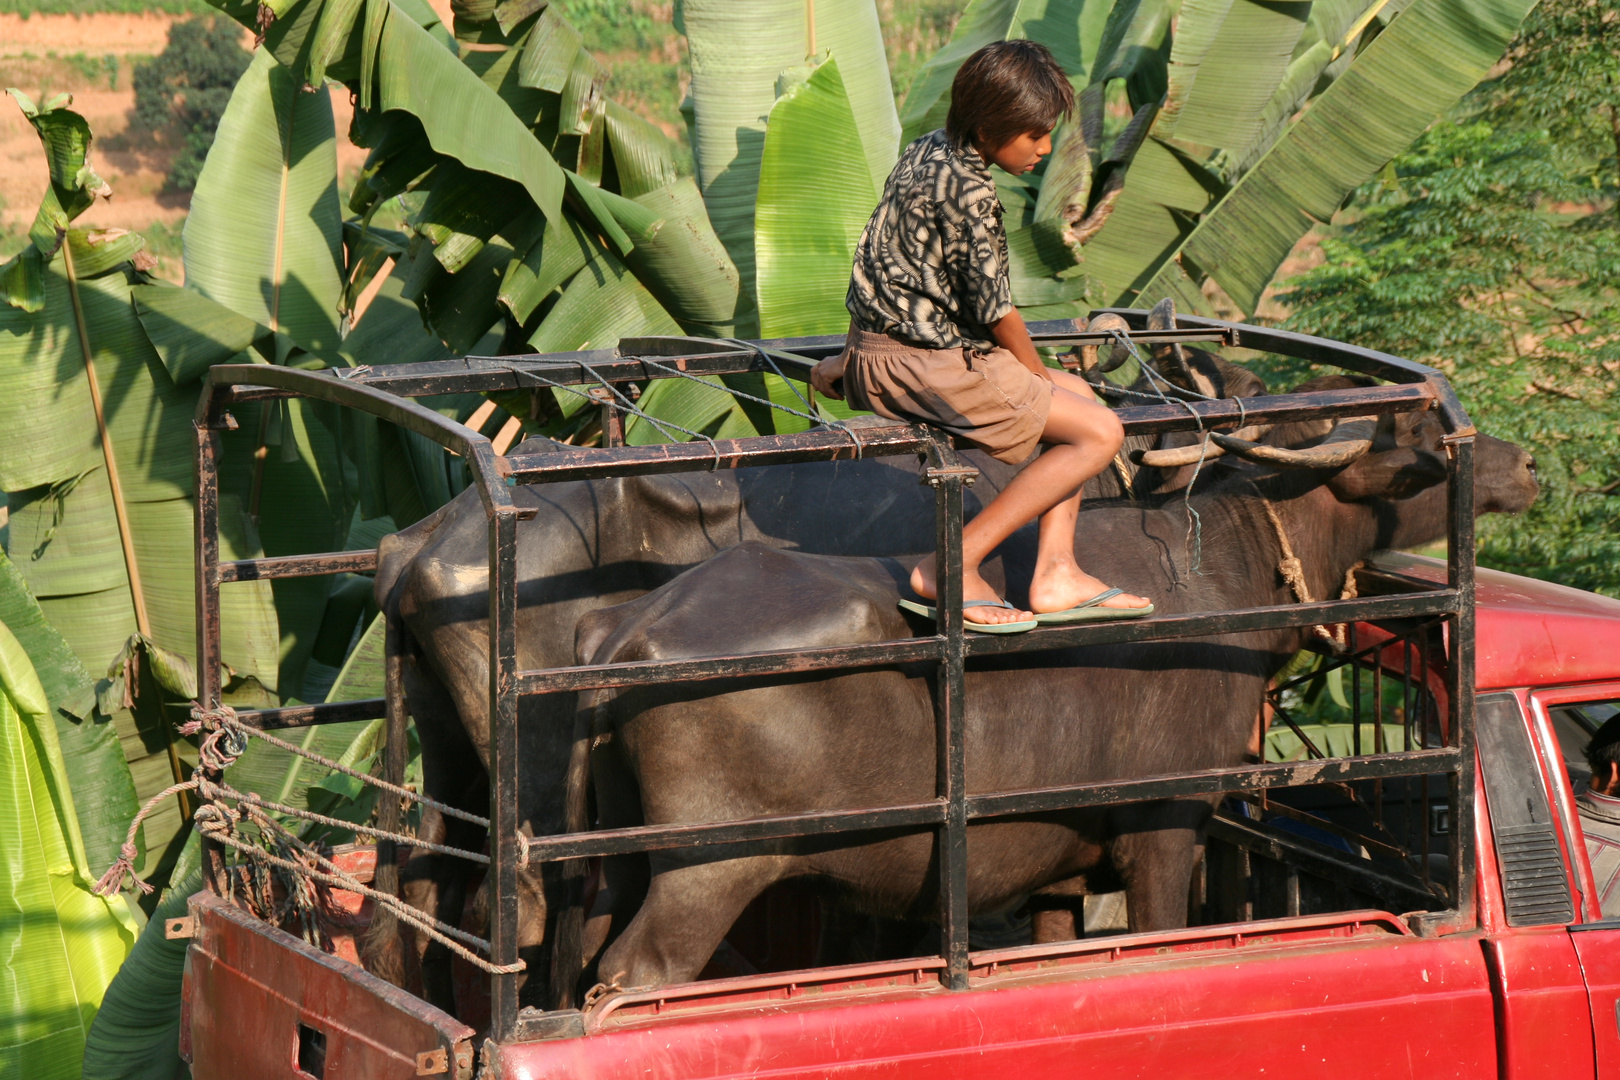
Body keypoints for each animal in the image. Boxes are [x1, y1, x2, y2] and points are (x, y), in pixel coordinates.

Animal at [576, 388, 1535, 990]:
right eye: (1416, 431)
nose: (1522, 465)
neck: (1232, 564)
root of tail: (631, 629)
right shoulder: (1165, 826)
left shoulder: (1054, 862)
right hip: (712, 870)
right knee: (635, 976)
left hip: (615, 861)